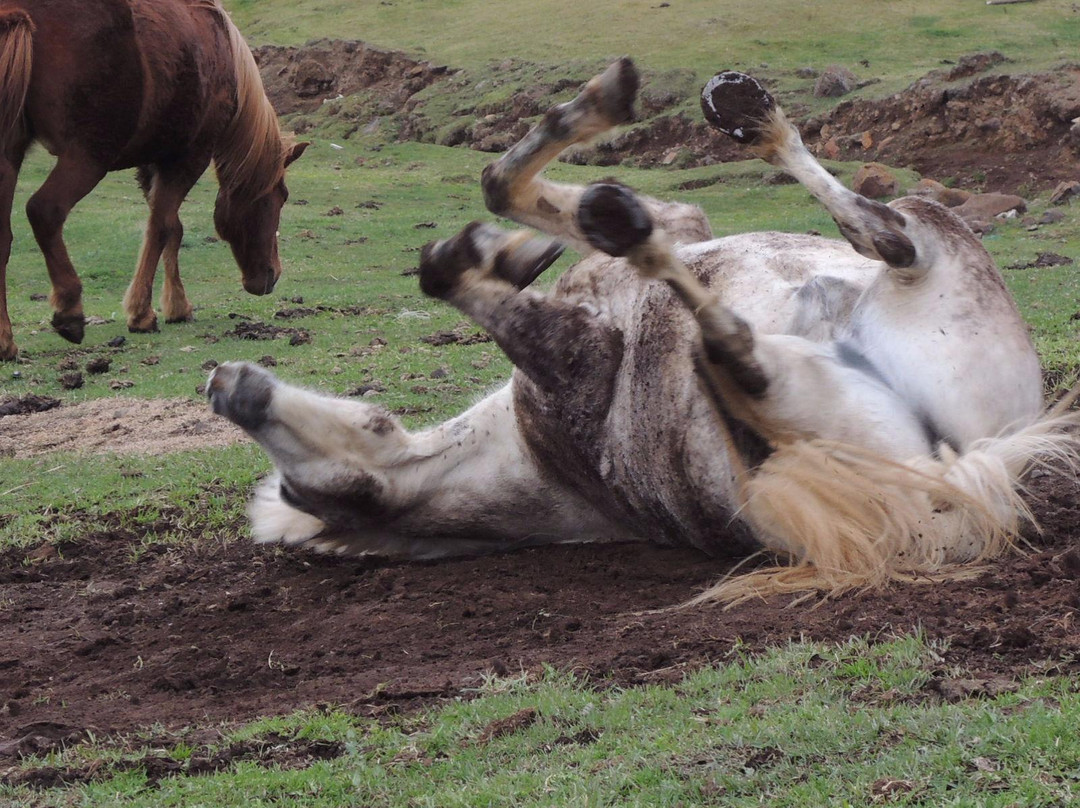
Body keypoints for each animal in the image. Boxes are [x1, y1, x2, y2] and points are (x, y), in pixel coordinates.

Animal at [0, 0, 308, 360]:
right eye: (281, 196)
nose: (273, 275)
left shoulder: (152, 162)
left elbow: (172, 228)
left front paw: (176, 304)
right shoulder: (188, 157)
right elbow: (161, 227)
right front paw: (142, 313)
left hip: (9, 156)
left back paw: (6, 340)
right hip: (88, 155)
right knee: (45, 211)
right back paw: (69, 310)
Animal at [207, 59, 1080, 604]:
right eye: (315, 489)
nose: (223, 385)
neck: (532, 456)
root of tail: (964, 469)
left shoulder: (680, 226)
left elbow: (502, 186)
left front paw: (515, 240)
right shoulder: (584, 353)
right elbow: (464, 264)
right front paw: (513, 244)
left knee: (867, 237)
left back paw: (732, 122)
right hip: (843, 345)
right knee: (811, 289)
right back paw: (706, 165)